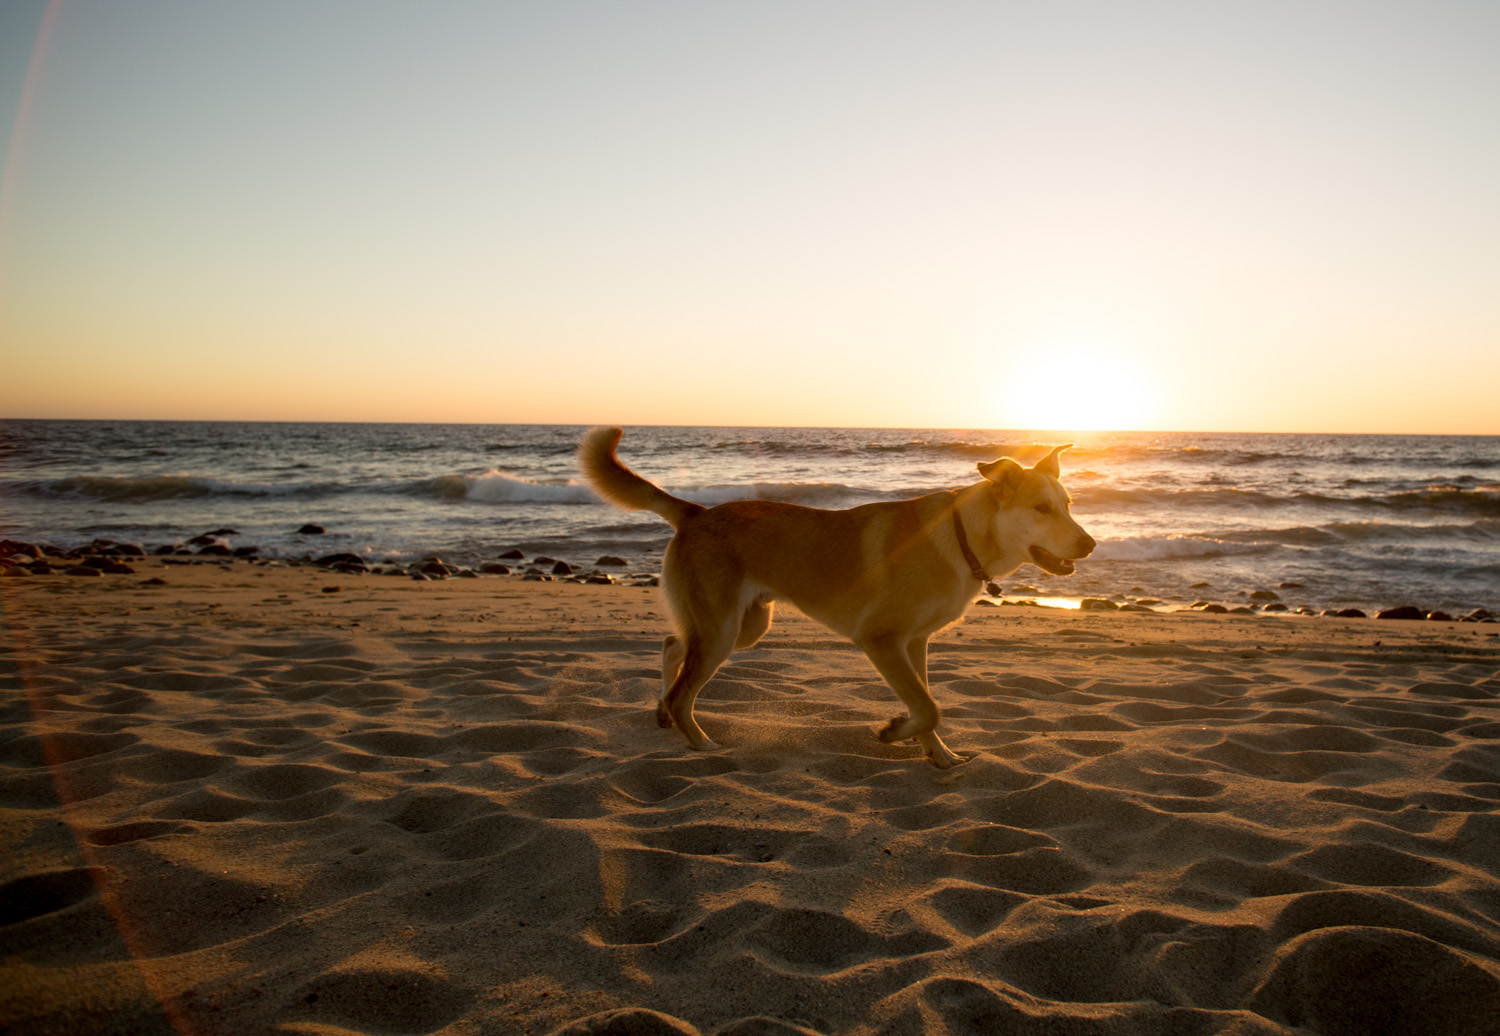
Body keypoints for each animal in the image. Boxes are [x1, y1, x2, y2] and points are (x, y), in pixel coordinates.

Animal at [579, 425, 1098, 764]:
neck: (963, 537)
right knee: (685, 689)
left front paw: (939, 756)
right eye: (1042, 508)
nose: (1090, 544)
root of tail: (696, 513)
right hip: (723, 631)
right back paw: (701, 744)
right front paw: (896, 732)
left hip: (744, 626)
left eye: (1070, 505)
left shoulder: (915, 644)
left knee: (673, 644)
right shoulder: (882, 640)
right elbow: (929, 706)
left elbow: (928, 704)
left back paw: (663, 712)